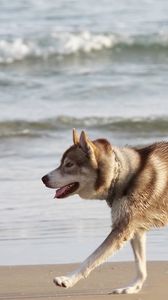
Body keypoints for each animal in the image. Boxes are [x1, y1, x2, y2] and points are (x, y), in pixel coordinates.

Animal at [41, 129, 168, 292]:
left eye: (69, 164)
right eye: (61, 163)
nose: (43, 178)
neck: (120, 174)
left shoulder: (122, 229)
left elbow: (91, 258)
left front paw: (68, 279)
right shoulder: (135, 229)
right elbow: (141, 266)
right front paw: (133, 288)